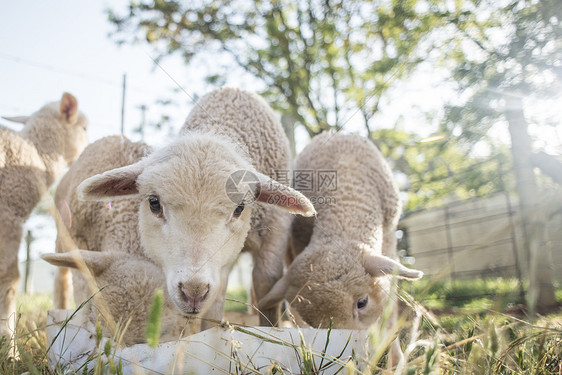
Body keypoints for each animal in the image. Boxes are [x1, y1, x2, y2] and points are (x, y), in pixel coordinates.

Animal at [258, 133, 420, 368]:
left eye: (362, 303)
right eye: (315, 323)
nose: (353, 359)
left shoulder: (390, 237)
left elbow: (389, 312)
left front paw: (396, 361)